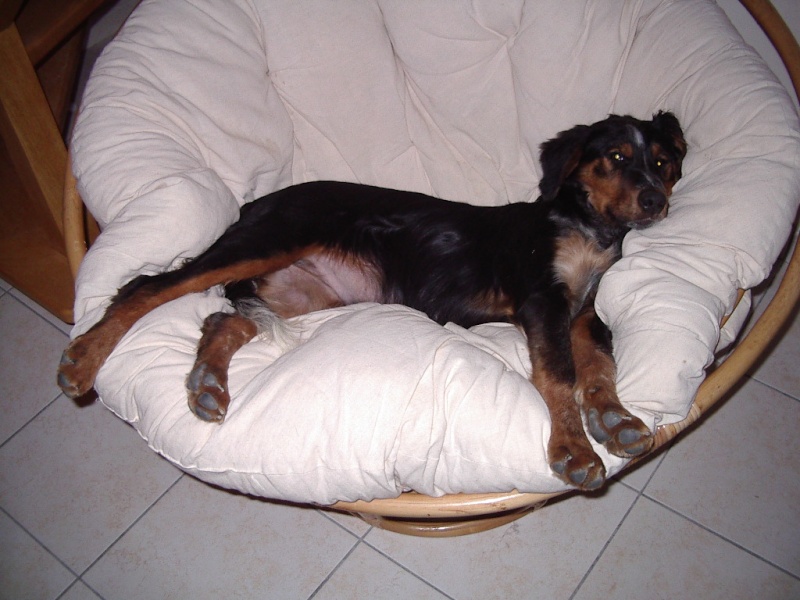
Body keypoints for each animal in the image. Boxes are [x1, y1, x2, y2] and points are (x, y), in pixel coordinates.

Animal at [57, 112, 688, 492]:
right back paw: (83, 361)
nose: (655, 202)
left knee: (222, 319)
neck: (587, 228)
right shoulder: (542, 299)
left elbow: (599, 366)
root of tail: (253, 204)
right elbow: (558, 374)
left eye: (662, 162)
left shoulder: (584, 311)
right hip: (265, 242)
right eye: (613, 157)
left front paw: (616, 420)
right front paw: (573, 449)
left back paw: (208, 385)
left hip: (303, 291)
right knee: (145, 287)